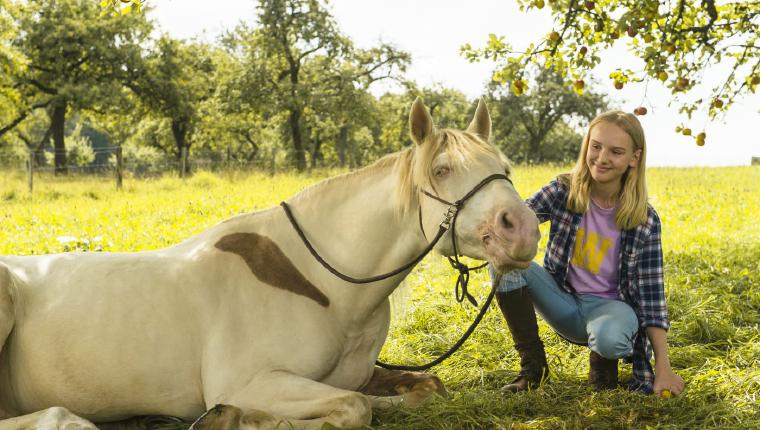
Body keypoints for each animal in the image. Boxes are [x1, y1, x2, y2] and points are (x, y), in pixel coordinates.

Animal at [0, 99, 540, 428]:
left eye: (506, 168)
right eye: (442, 170)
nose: (522, 229)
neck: (321, 285)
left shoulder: (356, 375)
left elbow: (421, 388)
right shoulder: (252, 382)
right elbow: (354, 408)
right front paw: (234, 419)